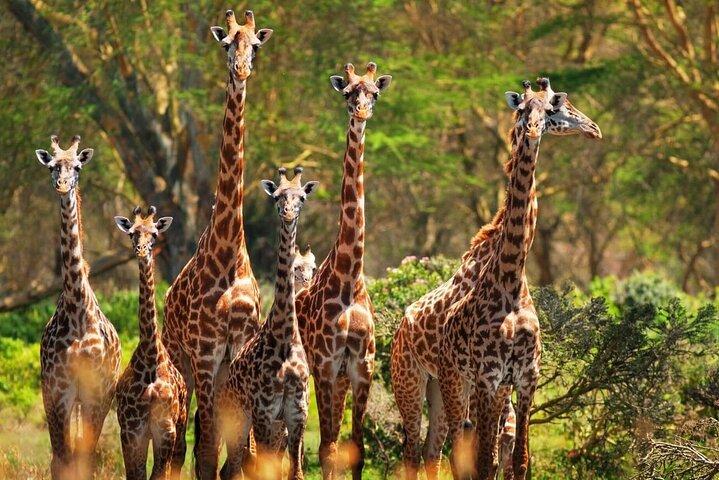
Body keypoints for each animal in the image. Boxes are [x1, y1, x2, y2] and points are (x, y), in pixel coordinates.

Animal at [35, 135, 121, 480]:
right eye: (53, 166)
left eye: (78, 167)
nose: (62, 185)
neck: (76, 309)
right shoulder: (58, 390)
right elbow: (61, 460)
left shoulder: (96, 391)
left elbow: (84, 459)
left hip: (98, 398)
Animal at [114, 206, 188, 480]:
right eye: (132, 233)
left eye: (154, 234)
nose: (142, 250)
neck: (149, 360)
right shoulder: (131, 430)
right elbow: (135, 475)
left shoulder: (165, 429)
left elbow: (159, 474)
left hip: (180, 426)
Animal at [218, 167, 318, 480]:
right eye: (277, 197)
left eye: (301, 197)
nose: (287, 212)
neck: (285, 338)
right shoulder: (264, 413)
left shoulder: (296, 415)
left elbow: (296, 473)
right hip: (239, 420)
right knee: (231, 469)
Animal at [390, 76, 601, 480]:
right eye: (526, 109)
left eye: (554, 105)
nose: (594, 128)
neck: (510, 279)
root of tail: (401, 325)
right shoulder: (487, 379)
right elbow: (484, 461)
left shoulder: (524, 378)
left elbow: (519, 460)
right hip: (416, 381)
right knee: (416, 452)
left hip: (444, 388)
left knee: (433, 452)